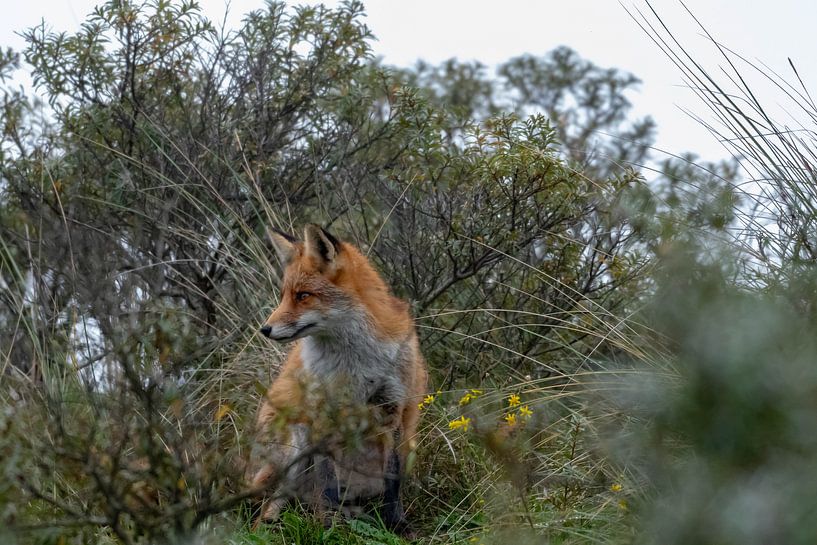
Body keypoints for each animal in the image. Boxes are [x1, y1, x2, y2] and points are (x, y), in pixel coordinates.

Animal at [249, 224, 428, 532]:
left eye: (303, 295)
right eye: (284, 295)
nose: (265, 329)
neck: (355, 364)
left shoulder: (391, 410)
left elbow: (392, 481)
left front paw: (397, 525)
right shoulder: (320, 415)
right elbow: (328, 482)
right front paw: (329, 527)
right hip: (294, 444)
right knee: (270, 507)